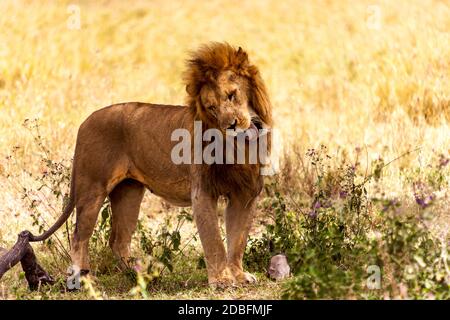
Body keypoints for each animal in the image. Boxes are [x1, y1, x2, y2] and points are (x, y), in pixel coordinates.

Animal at [29, 42, 274, 284]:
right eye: (211, 108)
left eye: (232, 95)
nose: (231, 125)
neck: (240, 147)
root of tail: (85, 121)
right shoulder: (203, 191)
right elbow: (214, 239)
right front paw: (221, 280)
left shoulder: (245, 193)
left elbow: (237, 239)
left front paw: (239, 275)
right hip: (92, 188)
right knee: (79, 236)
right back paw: (84, 279)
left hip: (128, 192)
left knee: (117, 240)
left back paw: (138, 274)